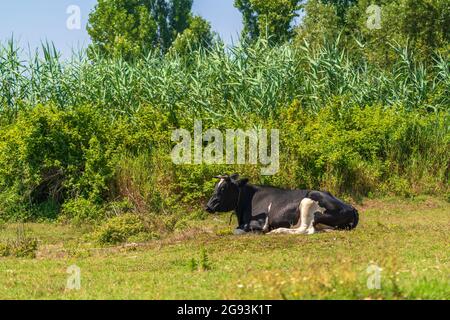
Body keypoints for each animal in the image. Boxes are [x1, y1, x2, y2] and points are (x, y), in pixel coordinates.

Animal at [206, 174, 360, 234]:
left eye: (223, 188)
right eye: (215, 187)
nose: (208, 206)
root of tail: (351, 207)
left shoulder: (260, 223)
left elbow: (237, 230)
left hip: (307, 201)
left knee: (306, 229)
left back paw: (278, 231)